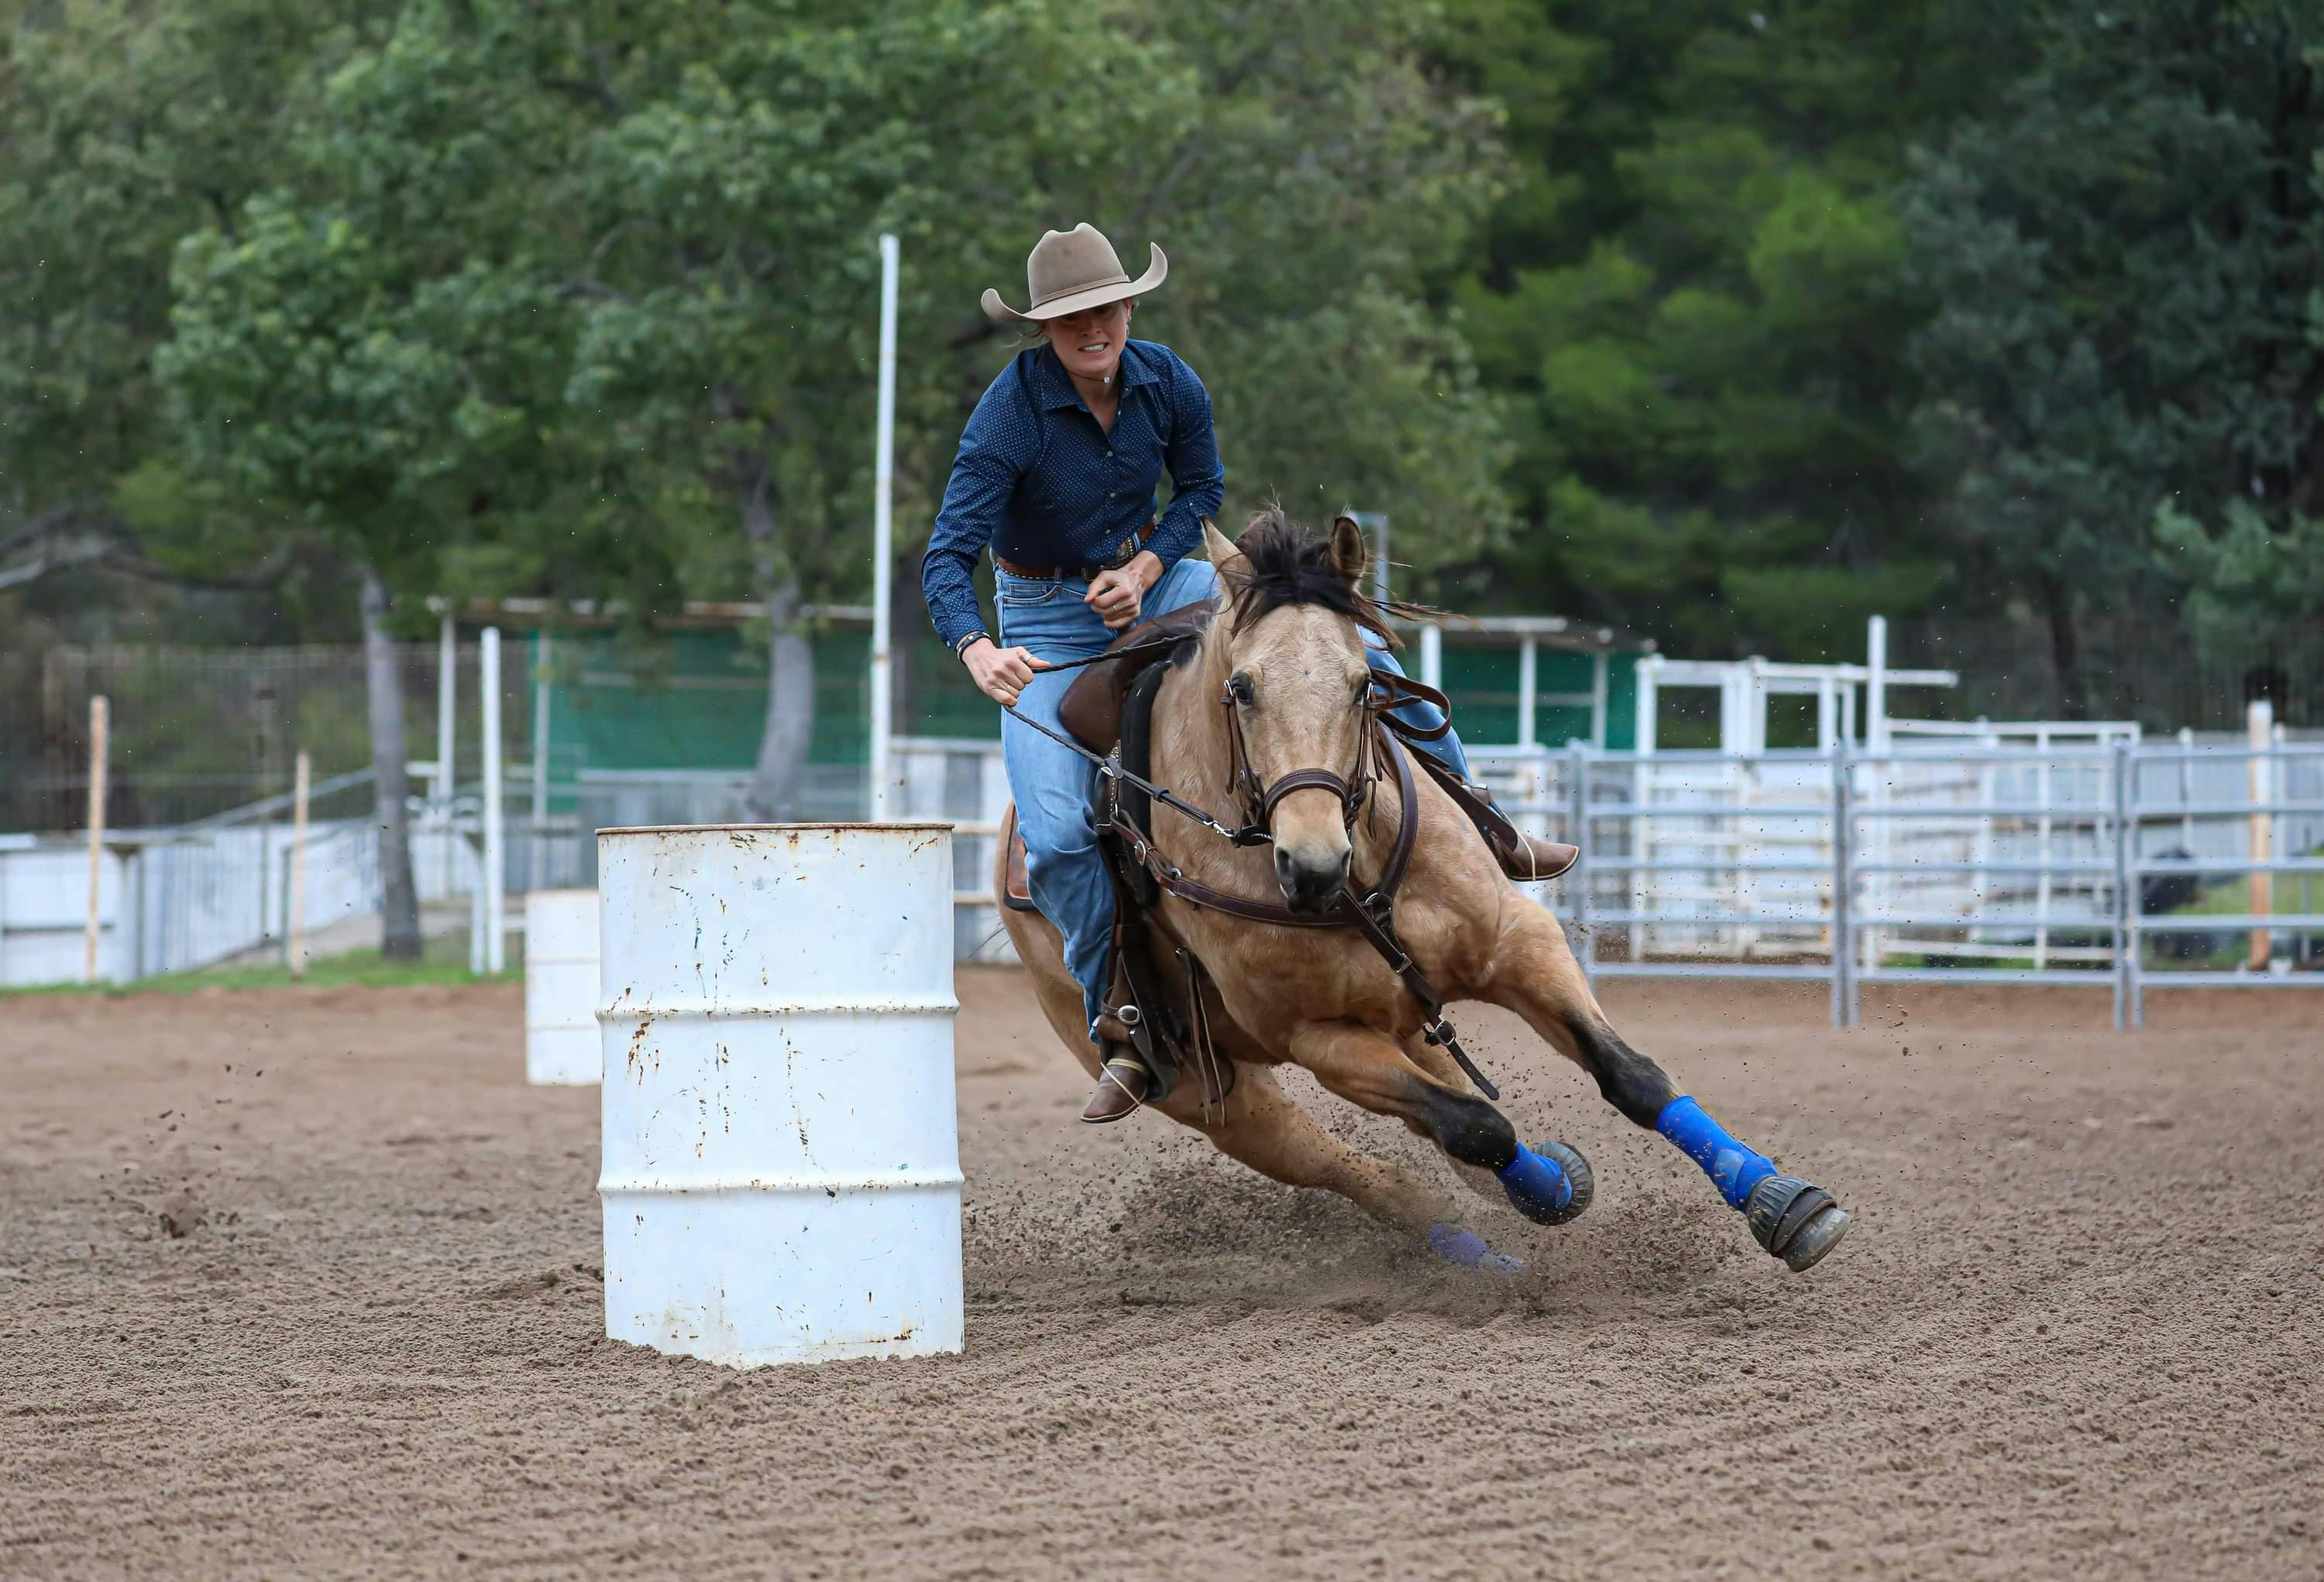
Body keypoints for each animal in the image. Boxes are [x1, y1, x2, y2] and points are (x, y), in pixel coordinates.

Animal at [993, 509, 1851, 1275]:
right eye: (1241, 687)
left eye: (1363, 682)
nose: (1311, 865)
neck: (1360, 878)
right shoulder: (1317, 1037)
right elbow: (1477, 1129)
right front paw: (1537, 1194)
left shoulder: (1520, 945)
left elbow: (1631, 1077)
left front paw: (1786, 1204)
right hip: (1214, 1092)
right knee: (1370, 1174)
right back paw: (1492, 1256)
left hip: (1402, 1025)